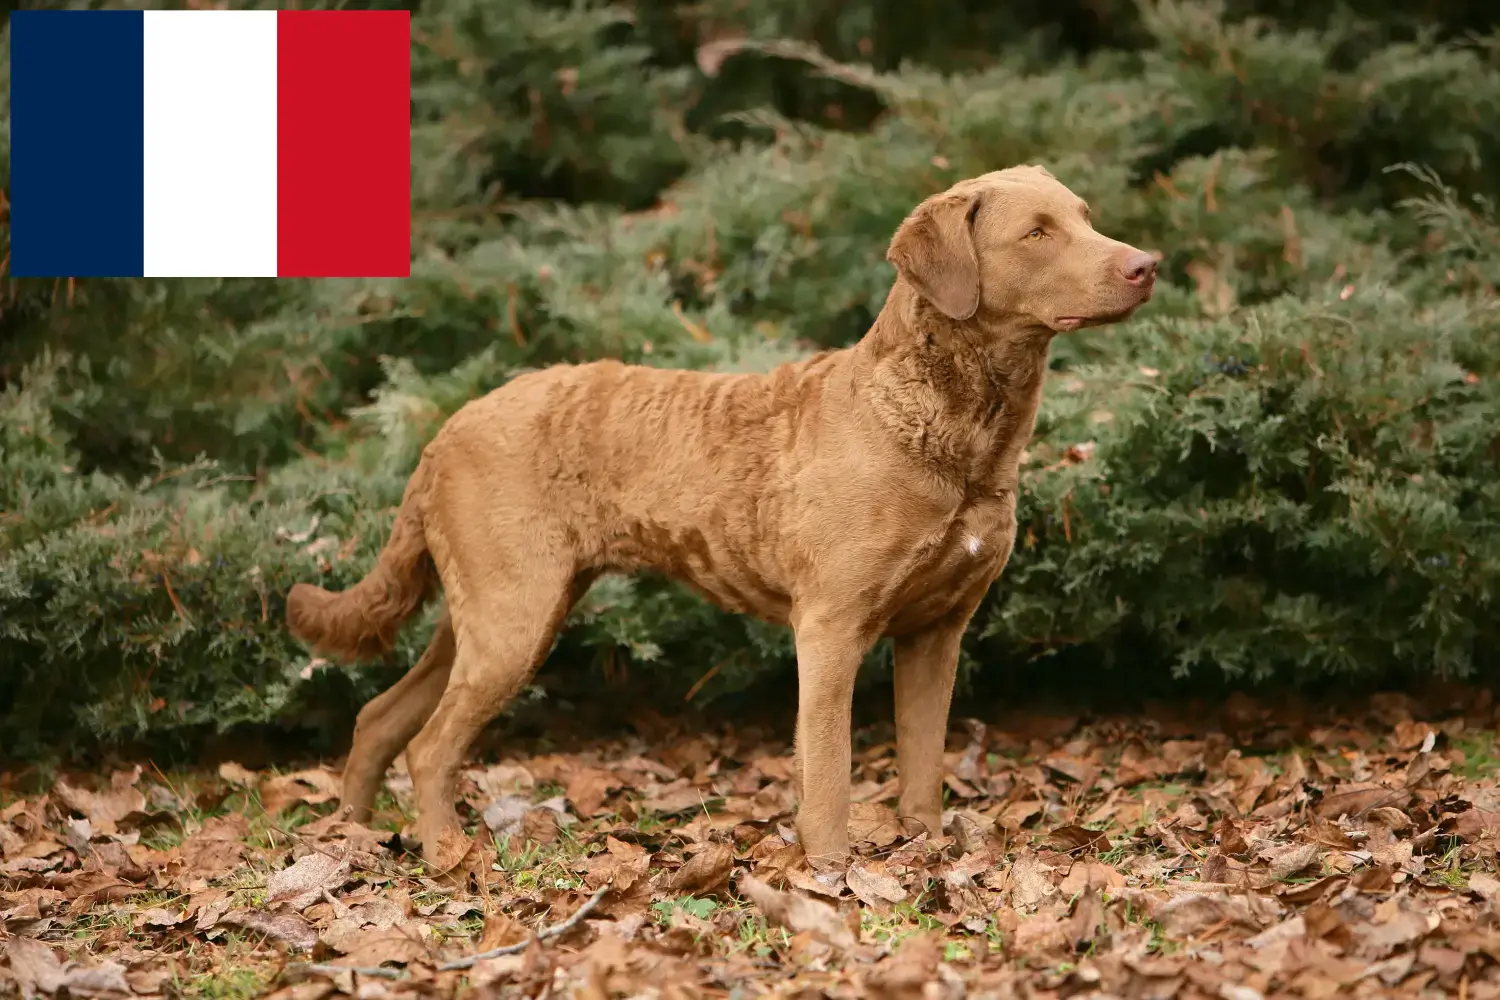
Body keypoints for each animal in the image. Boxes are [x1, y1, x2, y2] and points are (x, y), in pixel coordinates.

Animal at [289, 162, 1158, 869]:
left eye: (1086, 215)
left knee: (380, 717)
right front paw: (832, 871)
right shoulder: (832, 626)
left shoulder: (937, 630)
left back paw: (354, 838)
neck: (950, 433)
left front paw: (926, 850)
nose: (1146, 264)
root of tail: (445, 430)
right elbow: (830, 767)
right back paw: (444, 853)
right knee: (429, 744)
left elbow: (923, 761)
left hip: (493, 612)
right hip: (513, 616)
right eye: (1037, 232)